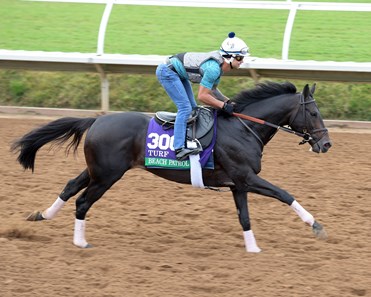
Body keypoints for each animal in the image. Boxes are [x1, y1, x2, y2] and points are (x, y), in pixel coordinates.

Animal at [11, 81, 332, 252]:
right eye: (314, 113)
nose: (326, 144)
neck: (244, 128)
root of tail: (96, 120)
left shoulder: (238, 183)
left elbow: (244, 217)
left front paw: (252, 247)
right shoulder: (247, 177)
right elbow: (285, 194)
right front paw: (315, 225)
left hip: (97, 170)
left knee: (69, 187)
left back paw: (41, 215)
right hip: (107, 176)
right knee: (82, 202)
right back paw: (80, 242)